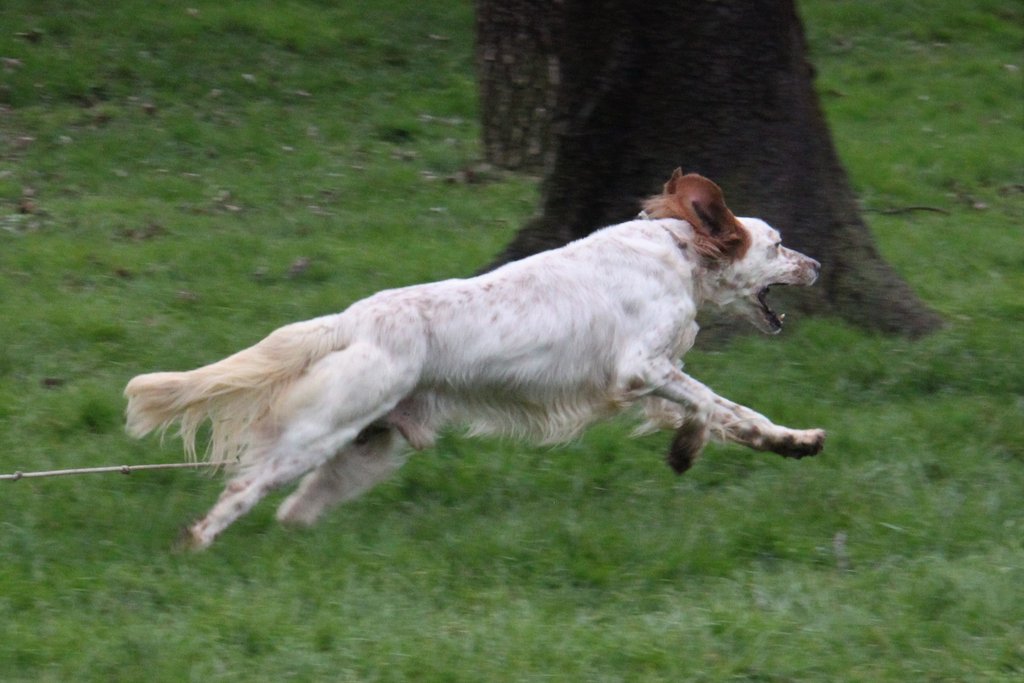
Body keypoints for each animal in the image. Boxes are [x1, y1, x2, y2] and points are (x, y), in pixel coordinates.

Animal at [125, 170, 825, 549]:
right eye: (779, 245)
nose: (818, 264)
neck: (678, 253)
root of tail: (353, 318)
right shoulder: (641, 367)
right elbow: (718, 405)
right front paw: (742, 445)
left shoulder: (650, 375)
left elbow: (718, 413)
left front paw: (745, 445)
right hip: (320, 432)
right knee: (245, 488)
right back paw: (194, 544)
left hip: (369, 445)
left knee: (295, 509)